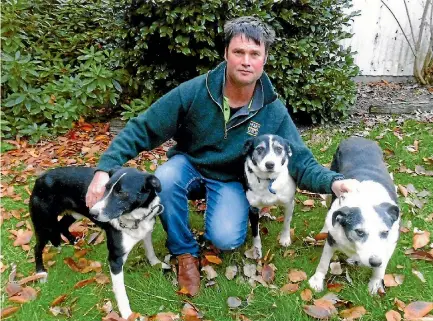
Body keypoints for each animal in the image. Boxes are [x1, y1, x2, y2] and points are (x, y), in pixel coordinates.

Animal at [30, 166, 168, 316]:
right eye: (105, 188)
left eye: (122, 193)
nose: (93, 213)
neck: (135, 218)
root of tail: (40, 177)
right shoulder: (115, 259)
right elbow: (121, 291)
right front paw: (126, 313)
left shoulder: (147, 232)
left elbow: (150, 251)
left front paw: (157, 264)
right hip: (45, 224)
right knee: (37, 248)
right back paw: (41, 272)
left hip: (74, 213)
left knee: (62, 225)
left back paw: (74, 241)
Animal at [308, 136, 398, 294]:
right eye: (359, 232)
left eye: (385, 232)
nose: (375, 262)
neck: (366, 198)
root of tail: (357, 138)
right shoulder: (332, 238)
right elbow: (323, 262)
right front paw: (317, 281)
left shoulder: (389, 244)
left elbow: (381, 268)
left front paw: (375, 284)